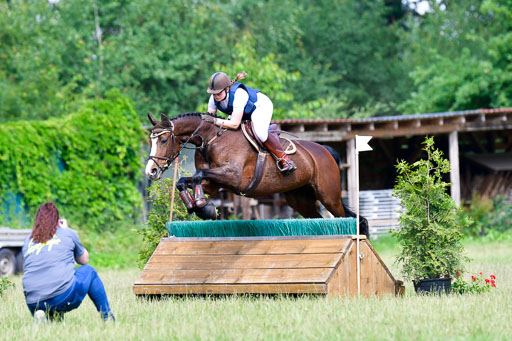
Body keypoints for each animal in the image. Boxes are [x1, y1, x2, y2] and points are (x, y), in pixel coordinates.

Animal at [144, 111, 368, 236]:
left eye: (163, 140)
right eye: (150, 140)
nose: (151, 171)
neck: (211, 139)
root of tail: (325, 150)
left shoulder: (233, 176)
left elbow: (198, 174)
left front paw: (203, 207)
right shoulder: (213, 183)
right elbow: (184, 180)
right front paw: (200, 208)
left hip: (328, 196)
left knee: (350, 218)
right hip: (300, 200)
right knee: (319, 219)